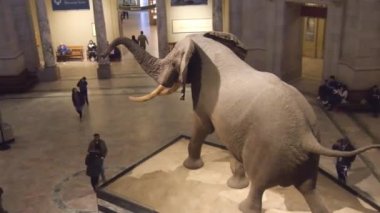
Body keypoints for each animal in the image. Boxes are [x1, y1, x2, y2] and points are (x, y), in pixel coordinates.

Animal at [102, 32, 380, 213]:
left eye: (171, 60)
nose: (104, 53)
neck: (208, 47)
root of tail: (306, 136)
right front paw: (234, 180)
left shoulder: (205, 96)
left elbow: (202, 126)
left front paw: (191, 166)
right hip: (308, 159)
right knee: (310, 189)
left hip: (268, 149)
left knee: (260, 184)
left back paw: (243, 207)